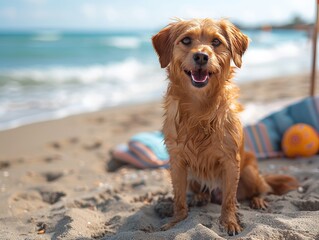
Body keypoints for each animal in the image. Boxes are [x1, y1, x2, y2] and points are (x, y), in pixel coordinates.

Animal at [152, 17, 300, 235]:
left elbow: (229, 200)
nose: (201, 56)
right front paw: (176, 221)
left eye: (216, 42)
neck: (200, 107)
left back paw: (257, 201)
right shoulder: (177, 161)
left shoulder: (231, 161)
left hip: (249, 172)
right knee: (201, 191)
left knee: (259, 190)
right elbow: (179, 199)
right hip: (193, 178)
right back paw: (200, 197)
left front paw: (229, 222)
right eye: (186, 40)